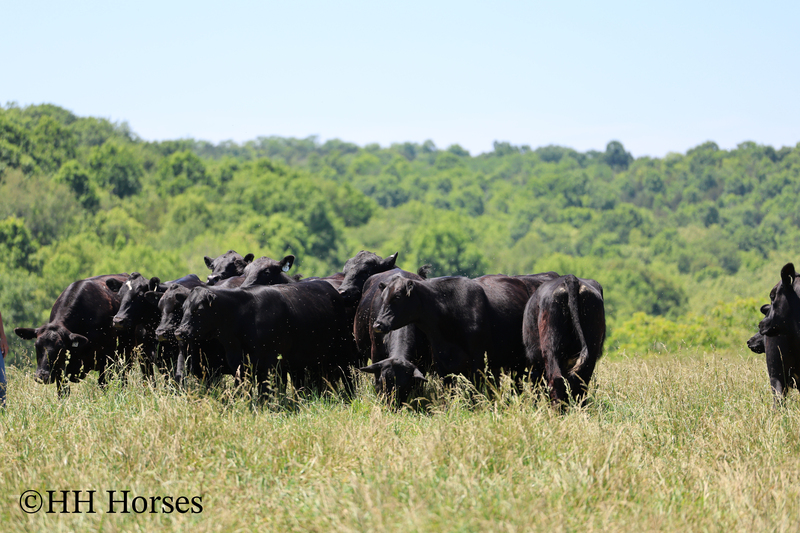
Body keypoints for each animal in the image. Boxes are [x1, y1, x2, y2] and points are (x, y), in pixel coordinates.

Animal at [174, 280, 358, 396]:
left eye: (199, 309)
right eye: (183, 308)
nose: (179, 332)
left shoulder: (268, 363)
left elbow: (264, 392)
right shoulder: (239, 365)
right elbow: (242, 391)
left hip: (343, 350)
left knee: (348, 376)